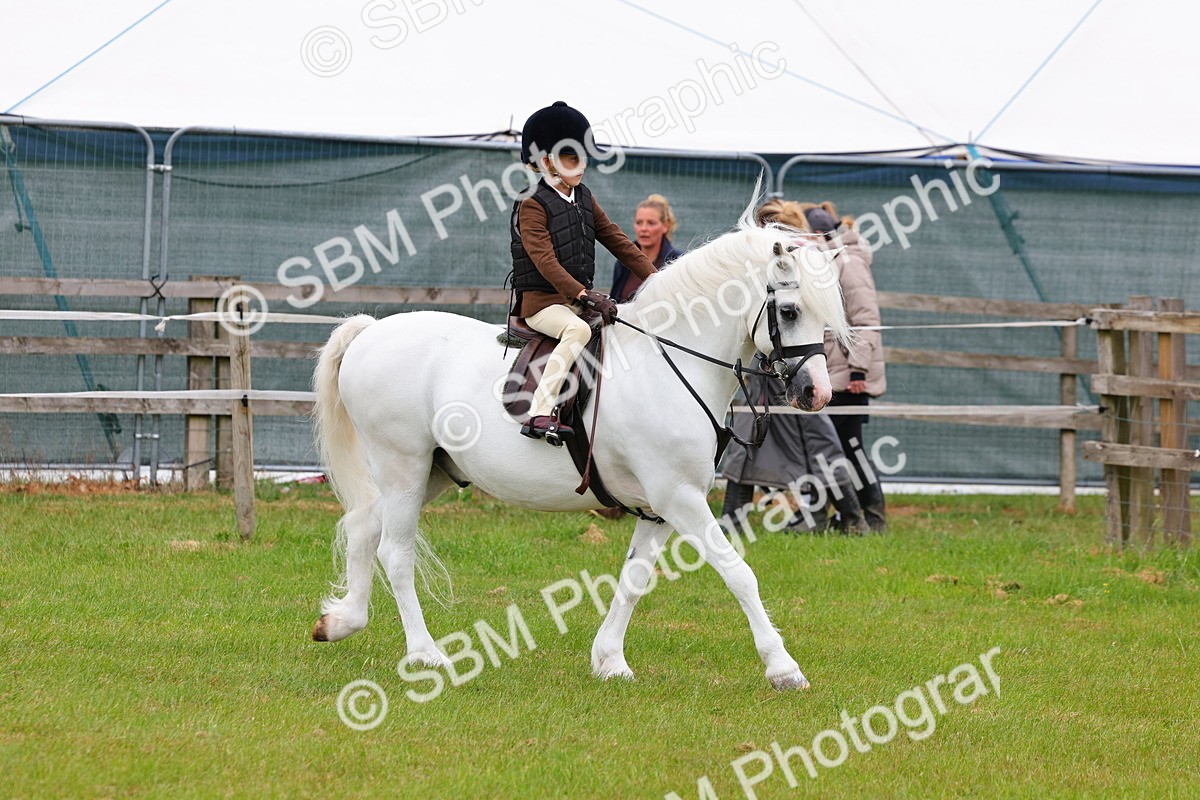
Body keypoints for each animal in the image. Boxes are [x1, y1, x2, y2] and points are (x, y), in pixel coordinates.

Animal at [309, 210, 851, 691]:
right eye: (790, 311)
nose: (817, 393)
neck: (668, 363)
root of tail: (372, 330)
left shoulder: (661, 507)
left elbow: (635, 578)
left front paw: (610, 660)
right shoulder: (680, 497)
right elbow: (739, 573)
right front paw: (783, 668)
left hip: (431, 473)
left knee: (363, 527)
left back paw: (341, 622)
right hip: (403, 465)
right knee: (395, 552)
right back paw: (427, 655)